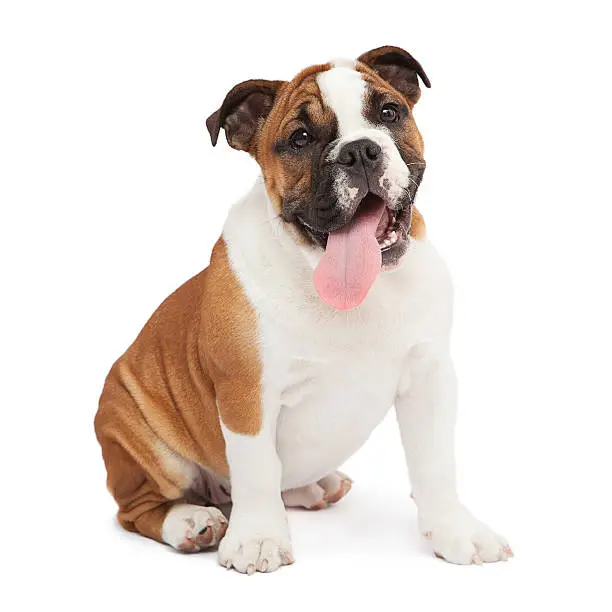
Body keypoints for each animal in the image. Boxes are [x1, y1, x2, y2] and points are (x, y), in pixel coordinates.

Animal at [95, 44, 512, 572]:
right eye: (300, 139)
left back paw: (313, 486)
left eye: (389, 113)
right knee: (138, 509)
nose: (360, 150)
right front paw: (257, 539)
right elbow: (255, 467)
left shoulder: (429, 377)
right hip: (139, 436)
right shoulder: (247, 392)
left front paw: (457, 532)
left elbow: (436, 462)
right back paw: (191, 522)